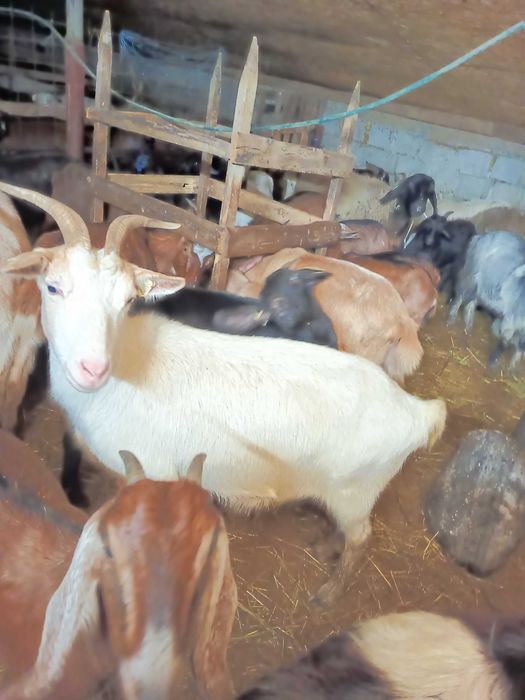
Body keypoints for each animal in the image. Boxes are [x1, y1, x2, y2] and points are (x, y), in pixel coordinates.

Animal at [448, 230, 525, 370]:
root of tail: (481, 236)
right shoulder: (512, 318)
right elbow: (504, 342)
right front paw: (493, 362)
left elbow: (521, 347)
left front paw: (513, 368)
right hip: (470, 277)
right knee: (459, 299)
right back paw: (451, 322)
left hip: (479, 288)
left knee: (470, 305)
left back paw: (468, 329)